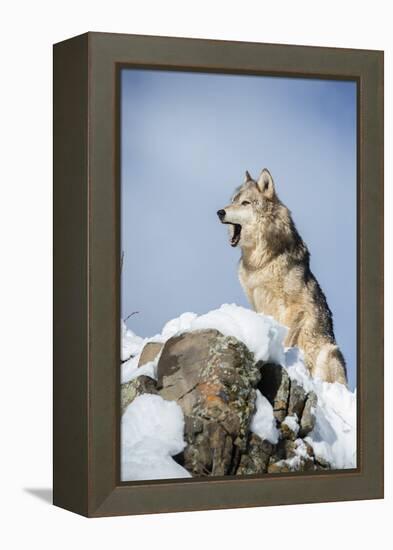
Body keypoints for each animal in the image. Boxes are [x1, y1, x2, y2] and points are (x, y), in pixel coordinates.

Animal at [217, 170, 346, 386]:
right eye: (232, 201)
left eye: (245, 203)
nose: (220, 212)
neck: (260, 262)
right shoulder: (257, 302)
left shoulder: (295, 307)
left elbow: (285, 337)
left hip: (330, 353)